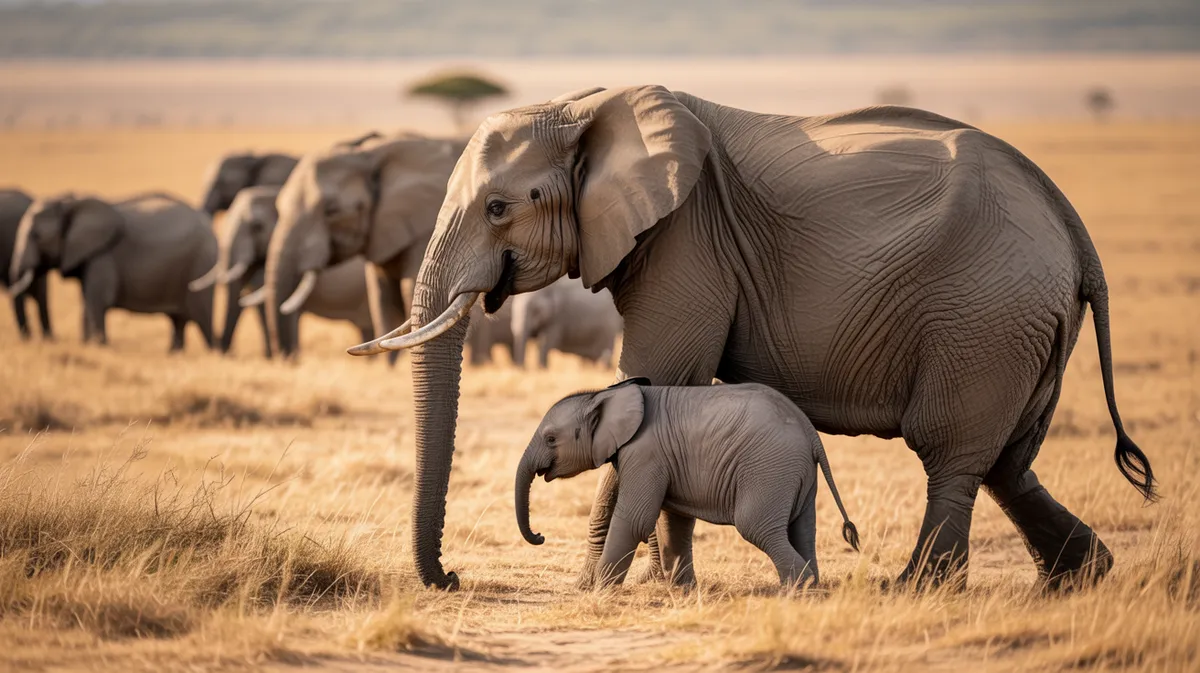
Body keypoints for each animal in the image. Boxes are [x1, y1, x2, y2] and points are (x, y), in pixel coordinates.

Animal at [10, 192, 216, 350]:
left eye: (36, 236)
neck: (72, 202)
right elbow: (87, 302)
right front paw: (88, 346)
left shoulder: (102, 256)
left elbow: (98, 300)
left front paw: (99, 346)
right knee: (178, 321)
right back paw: (174, 354)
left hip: (200, 264)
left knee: (202, 318)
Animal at [260, 131, 465, 361]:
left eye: (332, 211)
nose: (287, 360)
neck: (368, 154)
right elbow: (384, 299)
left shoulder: (426, 229)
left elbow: (409, 292)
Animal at [516, 379, 860, 588]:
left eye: (550, 439)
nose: (540, 536)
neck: (603, 394)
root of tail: (812, 434)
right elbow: (673, 520)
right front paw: (682, 589)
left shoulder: (645, 454)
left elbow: (635, 520)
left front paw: (602, 591)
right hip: (797, 475)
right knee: (802, 529)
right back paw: (813, 588)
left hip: (770, 468)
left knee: (756, 526)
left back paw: (796, 591)